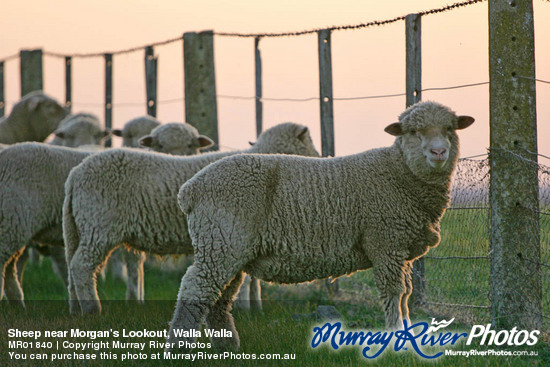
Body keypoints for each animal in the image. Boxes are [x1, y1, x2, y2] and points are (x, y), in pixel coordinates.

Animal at [0, 120, 211, 304]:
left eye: (191, 145)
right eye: (159, 144)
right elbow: (134, 264)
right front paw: (134, 299)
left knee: (13, 267)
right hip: (19, 221)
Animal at [63, 122, 322, 314]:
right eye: (309, 144)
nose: (322, 156)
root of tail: (76, 173)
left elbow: (253, 279)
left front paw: (256, 309)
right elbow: (248, 279)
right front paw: (245, 310)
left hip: (81, 228)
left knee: (72, 266)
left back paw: (76, 309)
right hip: (99, 225)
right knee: (81, 266)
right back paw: (92, 310)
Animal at [166, 100, 476, 350]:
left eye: (450, 128)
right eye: (413, 131)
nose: (438, 152)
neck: (400, 172)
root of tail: (190, 189)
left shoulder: (401, 249)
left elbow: (406, 294)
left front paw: (408, 336)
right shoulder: (385, 242)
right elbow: (394, 292)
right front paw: (395, 336)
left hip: (229, 248)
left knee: (220, 298)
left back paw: (228, 346)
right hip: (221, 242)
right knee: (195, 288)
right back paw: (179, 347)